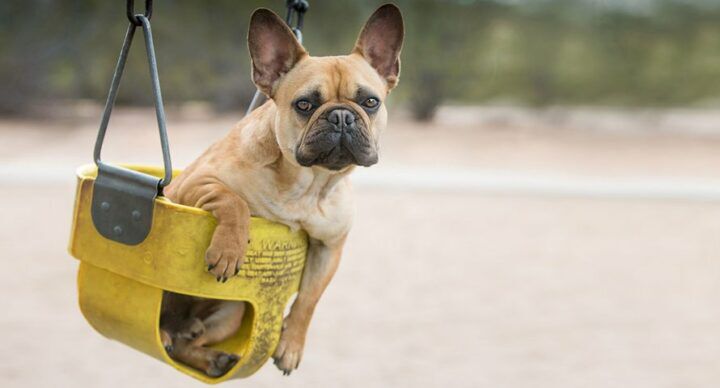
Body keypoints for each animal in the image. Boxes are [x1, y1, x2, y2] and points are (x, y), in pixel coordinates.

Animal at [160, 4, 402, 378]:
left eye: (370, 102)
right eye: (304, 104)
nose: (341, 117)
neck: (309, 184)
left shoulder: (328, 249)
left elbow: (308, 300)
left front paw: (291, 346)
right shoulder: (194, 182)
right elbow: (233, 201)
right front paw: (229, 250)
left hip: (231, 315)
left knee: (186, 343)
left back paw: (209, 356)